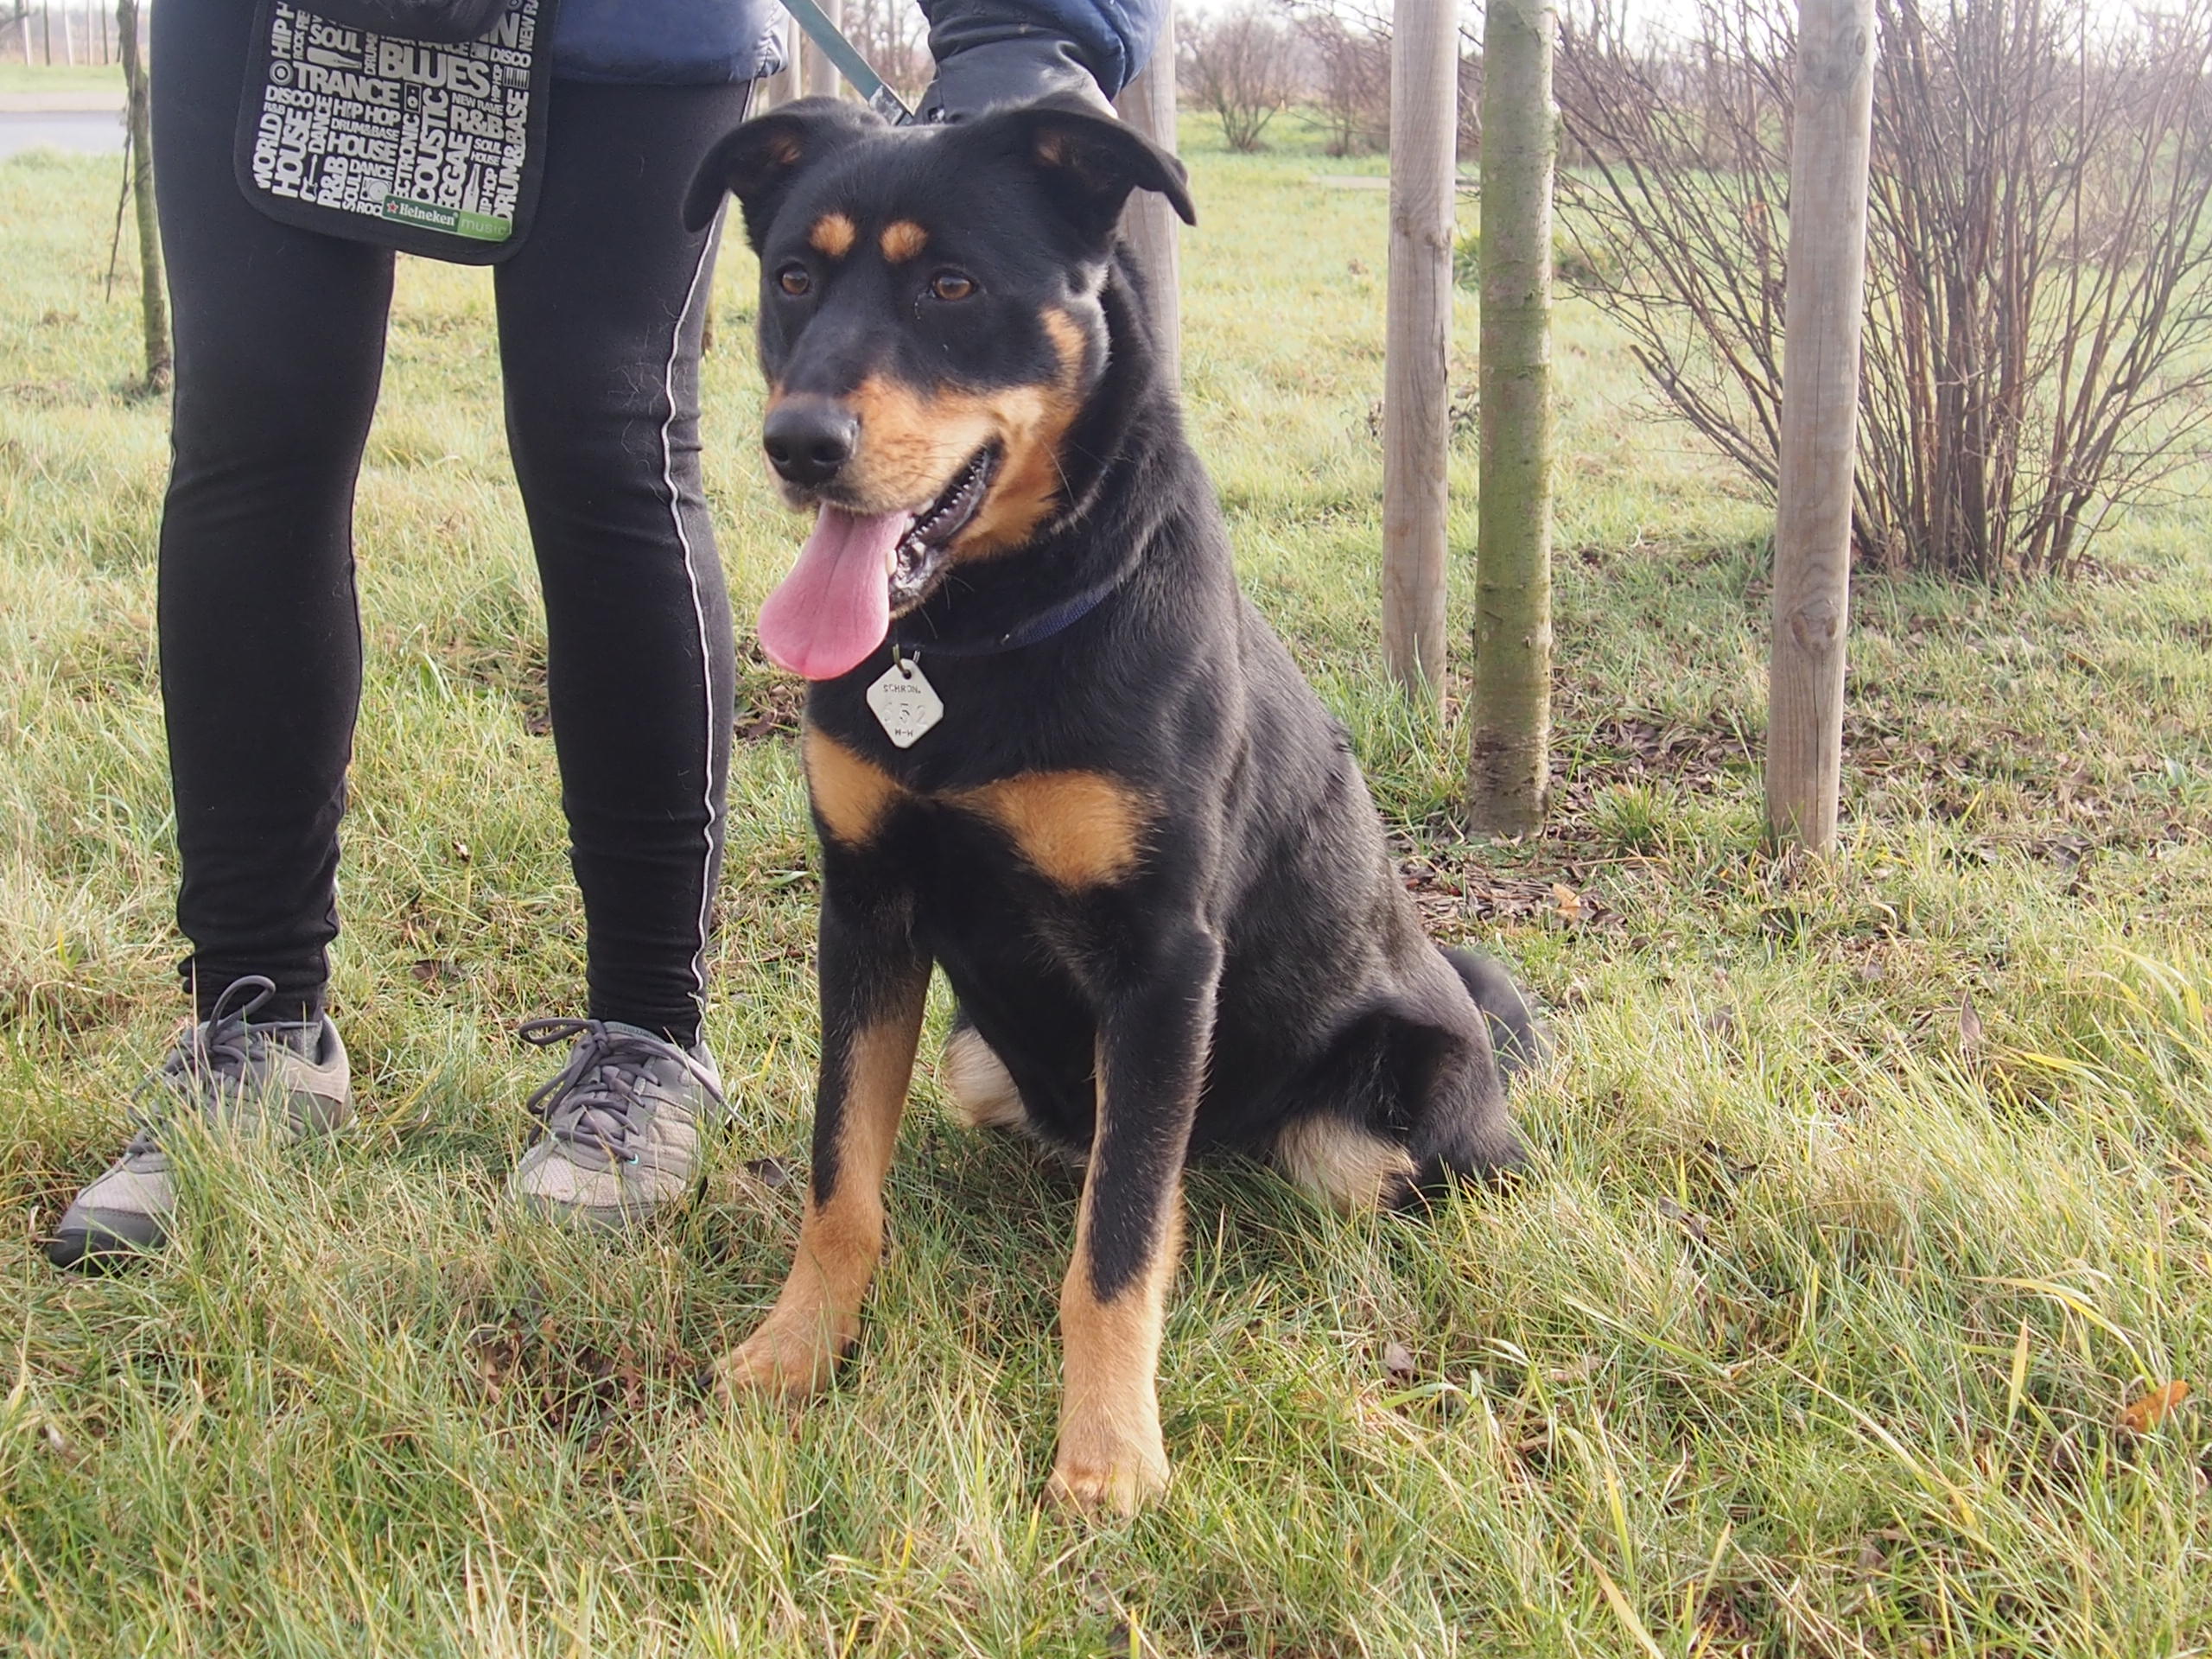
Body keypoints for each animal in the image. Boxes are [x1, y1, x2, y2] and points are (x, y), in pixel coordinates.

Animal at [685, 97, 1539, 1513]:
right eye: (795, 278)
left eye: (953, 286)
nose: (798, 446)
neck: (977, 637)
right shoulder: (866, 911)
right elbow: (839, 1176)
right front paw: (797, 1350)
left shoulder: (1161, 961)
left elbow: (1120, 1246)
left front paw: (1106, 1453)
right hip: (983, 1059)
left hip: (1377, 1126)